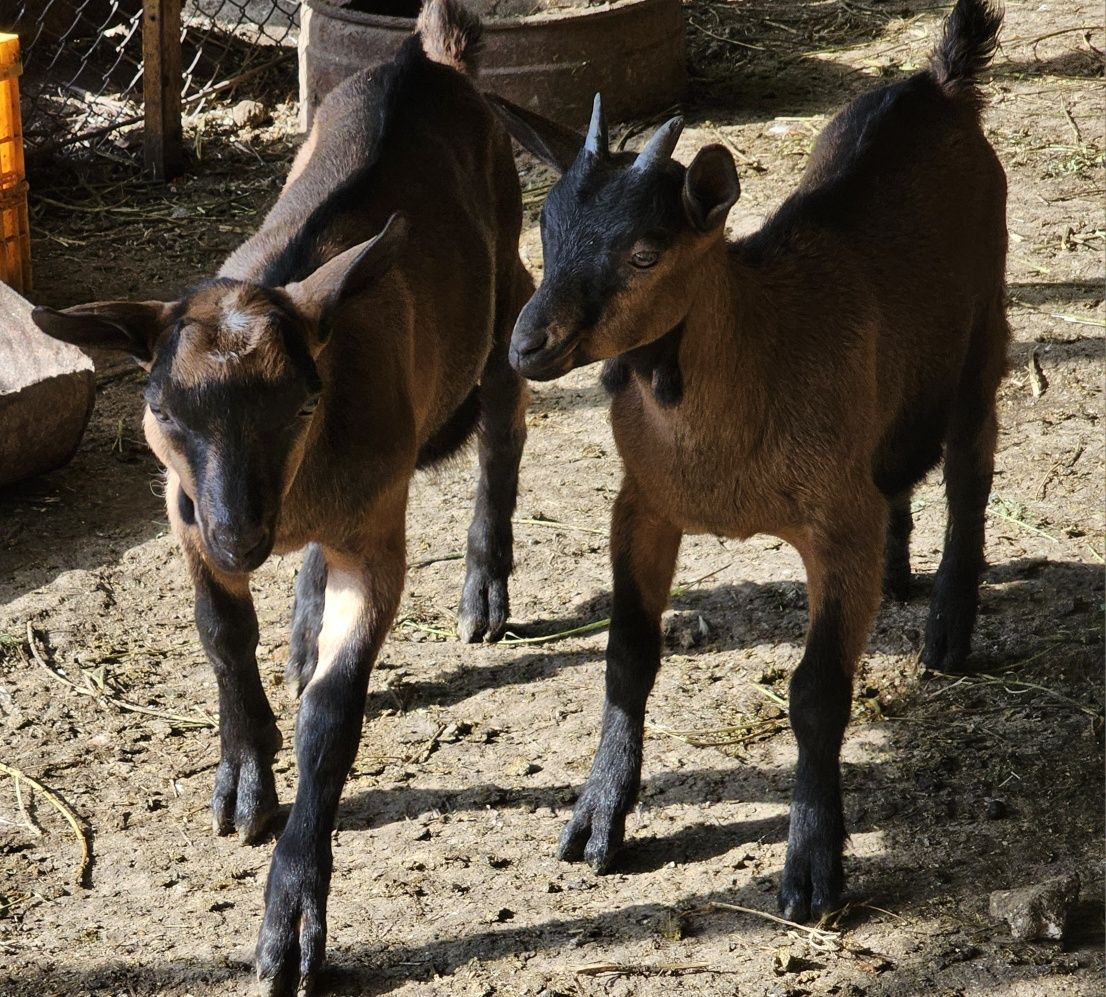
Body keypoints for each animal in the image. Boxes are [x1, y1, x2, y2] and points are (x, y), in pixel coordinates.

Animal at [32, 3, 533, 991]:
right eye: (161, 407)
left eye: (302, 401)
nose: (239, 534)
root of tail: (429, 58)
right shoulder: (179, 506)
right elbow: (223, 635)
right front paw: (243, 776)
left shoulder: (377, 532)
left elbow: (334, 714)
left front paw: (292, 916)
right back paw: (301, 626)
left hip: (505, 285)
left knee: (503, 417)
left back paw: (483, 586)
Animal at [493, 0, 1013, 916]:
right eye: (545, 228)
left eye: (644, 251)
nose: (528, 344)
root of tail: (938, 83)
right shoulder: (643, 504)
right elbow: (627, 656)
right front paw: (597, 818)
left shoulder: (833, 524)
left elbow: (816, 691)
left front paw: (812, 868)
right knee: (899, 471)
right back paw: (899, 573)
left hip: (983, 328)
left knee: (970, 472)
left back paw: (949, 626)